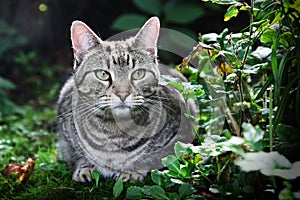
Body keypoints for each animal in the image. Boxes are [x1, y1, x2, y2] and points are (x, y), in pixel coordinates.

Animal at [57, 16, 196, 183]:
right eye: (103, 74)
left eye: (138, 74)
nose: (122, 94)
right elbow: (77, 153)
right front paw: (85, 167)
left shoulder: (182, 134)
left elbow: (151, 158)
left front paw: (131, 171)